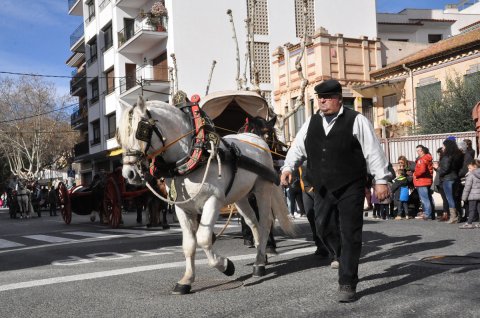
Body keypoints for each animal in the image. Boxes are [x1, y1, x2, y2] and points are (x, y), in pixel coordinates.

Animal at [116, 95, 294, 294]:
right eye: (120, 136)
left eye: (141, 130)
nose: (129, 174)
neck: (191, 153)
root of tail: (257, 139)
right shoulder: (182, 208)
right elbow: (189, 244)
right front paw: (186, 280)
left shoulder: (213, 201)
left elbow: (203, 238)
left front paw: (226, 265)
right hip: (240, 197)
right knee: (253, 222)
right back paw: (260, 258)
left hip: (263, 188)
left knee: (265, 222)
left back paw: (260, 264)